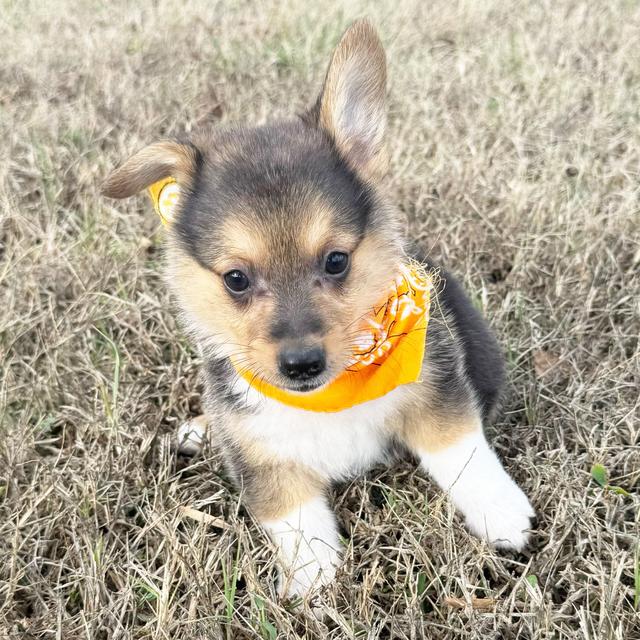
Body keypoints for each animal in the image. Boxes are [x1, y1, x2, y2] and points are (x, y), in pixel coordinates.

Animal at [104, 17, 536, 604]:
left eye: (336, 261)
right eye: (236, 279)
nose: (301, 364)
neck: (328, 397)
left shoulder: (438, 392)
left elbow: (461, 453)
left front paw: (501, 513)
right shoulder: (257, 450)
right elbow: (290, 510)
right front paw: (312, 574)